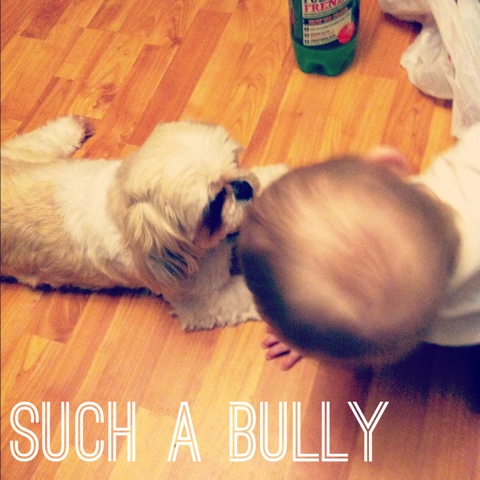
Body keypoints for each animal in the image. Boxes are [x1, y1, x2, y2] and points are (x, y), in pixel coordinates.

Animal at [1, 115, 288, 330]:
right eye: (214, 205)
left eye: (235, 163)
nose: (244, 187)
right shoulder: (205, 301)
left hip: (28, 154)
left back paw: (74, 127)